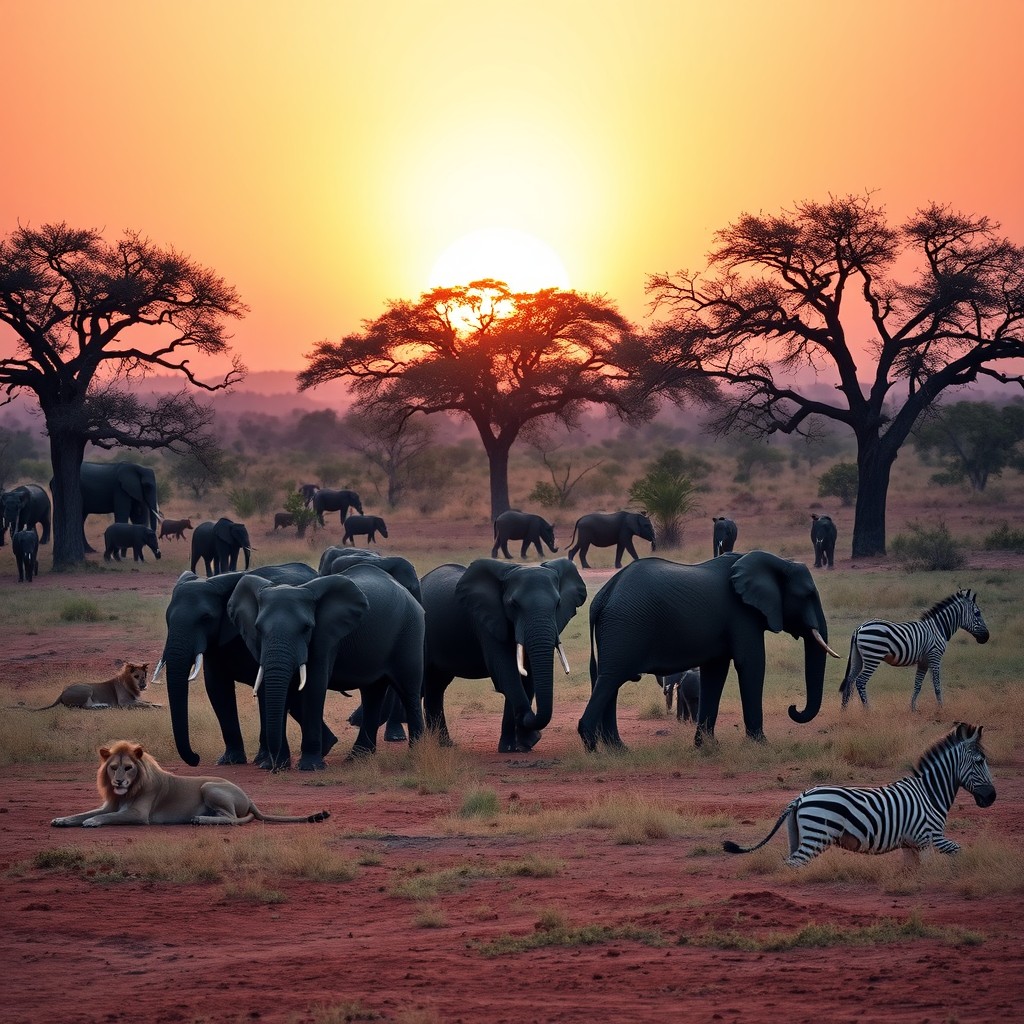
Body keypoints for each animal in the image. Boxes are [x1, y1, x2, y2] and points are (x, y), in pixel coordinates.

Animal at [154, 562, 336, 768]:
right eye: (167, 618)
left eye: (206, 618)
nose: (196, 757)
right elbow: (217, 688)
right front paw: (230, 761)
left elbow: (262, 689)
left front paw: (262, 760)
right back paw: (327, 746)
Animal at [227, 562, 426, 769]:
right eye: (258, 628)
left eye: (307, 628)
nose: (273, 768)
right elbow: (271, 688)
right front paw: (275, 765)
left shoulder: (326, 636)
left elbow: (315, 684)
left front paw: (309, 767)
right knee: (372, 693)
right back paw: (358, 757)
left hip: (410, 632)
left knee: (408, 690)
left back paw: (415, 754)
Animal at [421, 558, 587, 752]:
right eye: (513, 604)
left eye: (558, 604)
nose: (536, 734)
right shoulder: (484, 620)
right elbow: (507, 674)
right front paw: (524, 742)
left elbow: (526, 678)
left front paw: (521, 746)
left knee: (436, 685)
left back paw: (445, 745)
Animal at [577, 551, 838, 751]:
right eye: (807, 595)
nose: (793, 708)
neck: (777, 562)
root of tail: (602, 597)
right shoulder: (742, 615)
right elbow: (751, 663)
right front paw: (762, 745)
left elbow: (715, 672)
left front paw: (707, 746)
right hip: (625, 626)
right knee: (611, 678)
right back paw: (593, 747)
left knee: (609, 681)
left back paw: (617, 750)